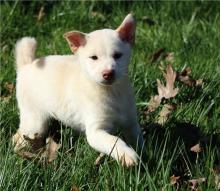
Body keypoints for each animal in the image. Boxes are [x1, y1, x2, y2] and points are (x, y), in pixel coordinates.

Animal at [13, 13, 144, 166]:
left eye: (118, 55)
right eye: (94, 58)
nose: (108, 73)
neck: (112, 92)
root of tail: (27, 65)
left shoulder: (131, 123)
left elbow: (138, 139)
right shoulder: (96, 132)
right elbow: (114, 141)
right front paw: (128, 156)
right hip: (34, 121)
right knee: (19, 135)